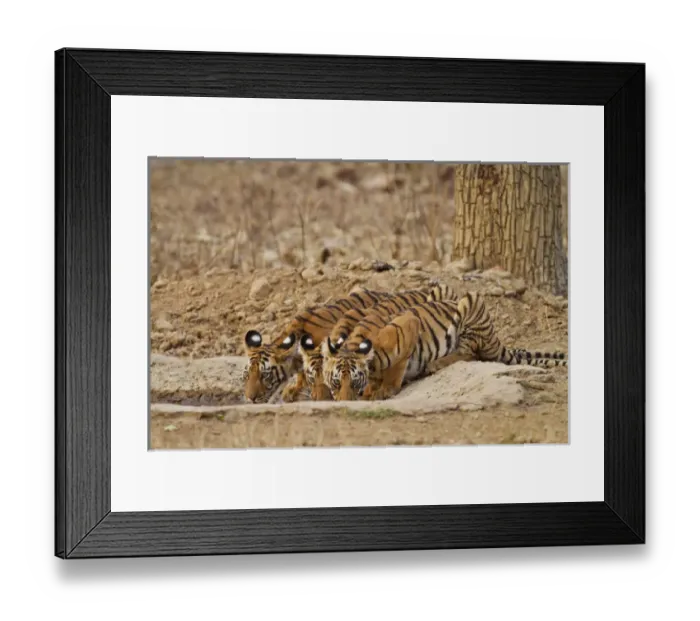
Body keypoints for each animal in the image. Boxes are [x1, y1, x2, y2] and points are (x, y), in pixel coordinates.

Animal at [320, 292, 568, 401]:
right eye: (336, 381)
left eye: (354, 381)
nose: (344, 403)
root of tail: (495, 338)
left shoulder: (408, 325)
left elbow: (396, 368)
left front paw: (384, 389)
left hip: (470, 302)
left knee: (469, 353)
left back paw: (434, 364)